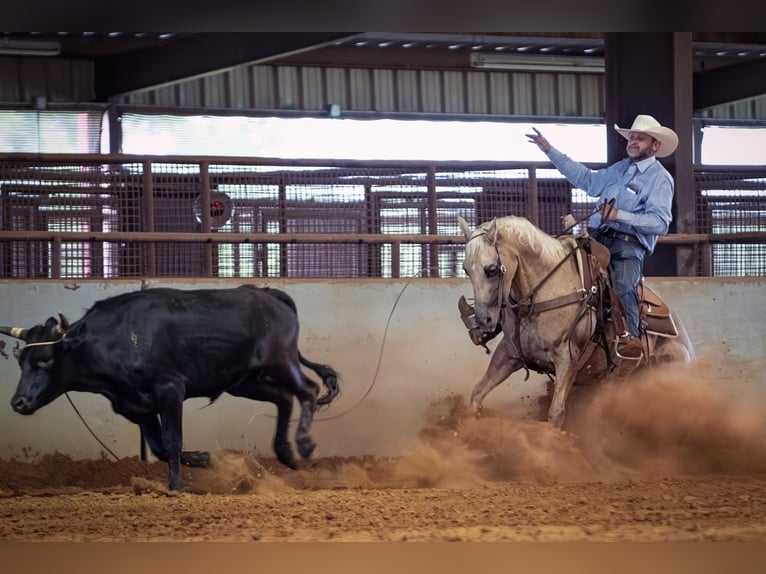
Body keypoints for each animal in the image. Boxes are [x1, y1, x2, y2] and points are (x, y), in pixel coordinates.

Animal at [0, 286, 342, 492]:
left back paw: (305, 445)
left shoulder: (169, 390)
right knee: (284, 398)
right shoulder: (137, 408)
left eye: (45, 360)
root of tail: (268, 294)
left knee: (308, 390)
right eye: (22, 361)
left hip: (281, 362)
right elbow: (160, 447)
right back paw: (286, 454)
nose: (18, 402)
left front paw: (175, 486)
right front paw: (202, 458)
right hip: (247, 381)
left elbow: (171, 441)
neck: (118, 339)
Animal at [460, 217, 700, 432]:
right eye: (466, 269)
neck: (546, 292)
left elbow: (556, 413)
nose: (483, 321)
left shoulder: (567, 359)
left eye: (491, 270)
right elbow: (477, 394)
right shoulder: (509, 353)